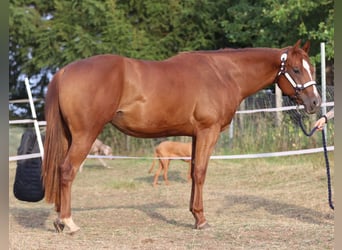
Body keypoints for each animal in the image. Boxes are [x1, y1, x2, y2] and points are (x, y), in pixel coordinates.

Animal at [42, 40, 320, 233]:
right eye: (296, 69)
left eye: (313, 68)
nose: (315, 102)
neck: (223, 73)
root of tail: (64, 71)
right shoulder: (208, 131)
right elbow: (200, 172)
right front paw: (202, 220)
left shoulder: (196, 135)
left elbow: (194, 172)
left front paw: (195, 216)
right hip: (85, 135)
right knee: (67, 170)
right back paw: (68, 222)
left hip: (69, 137)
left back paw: (59, 220)